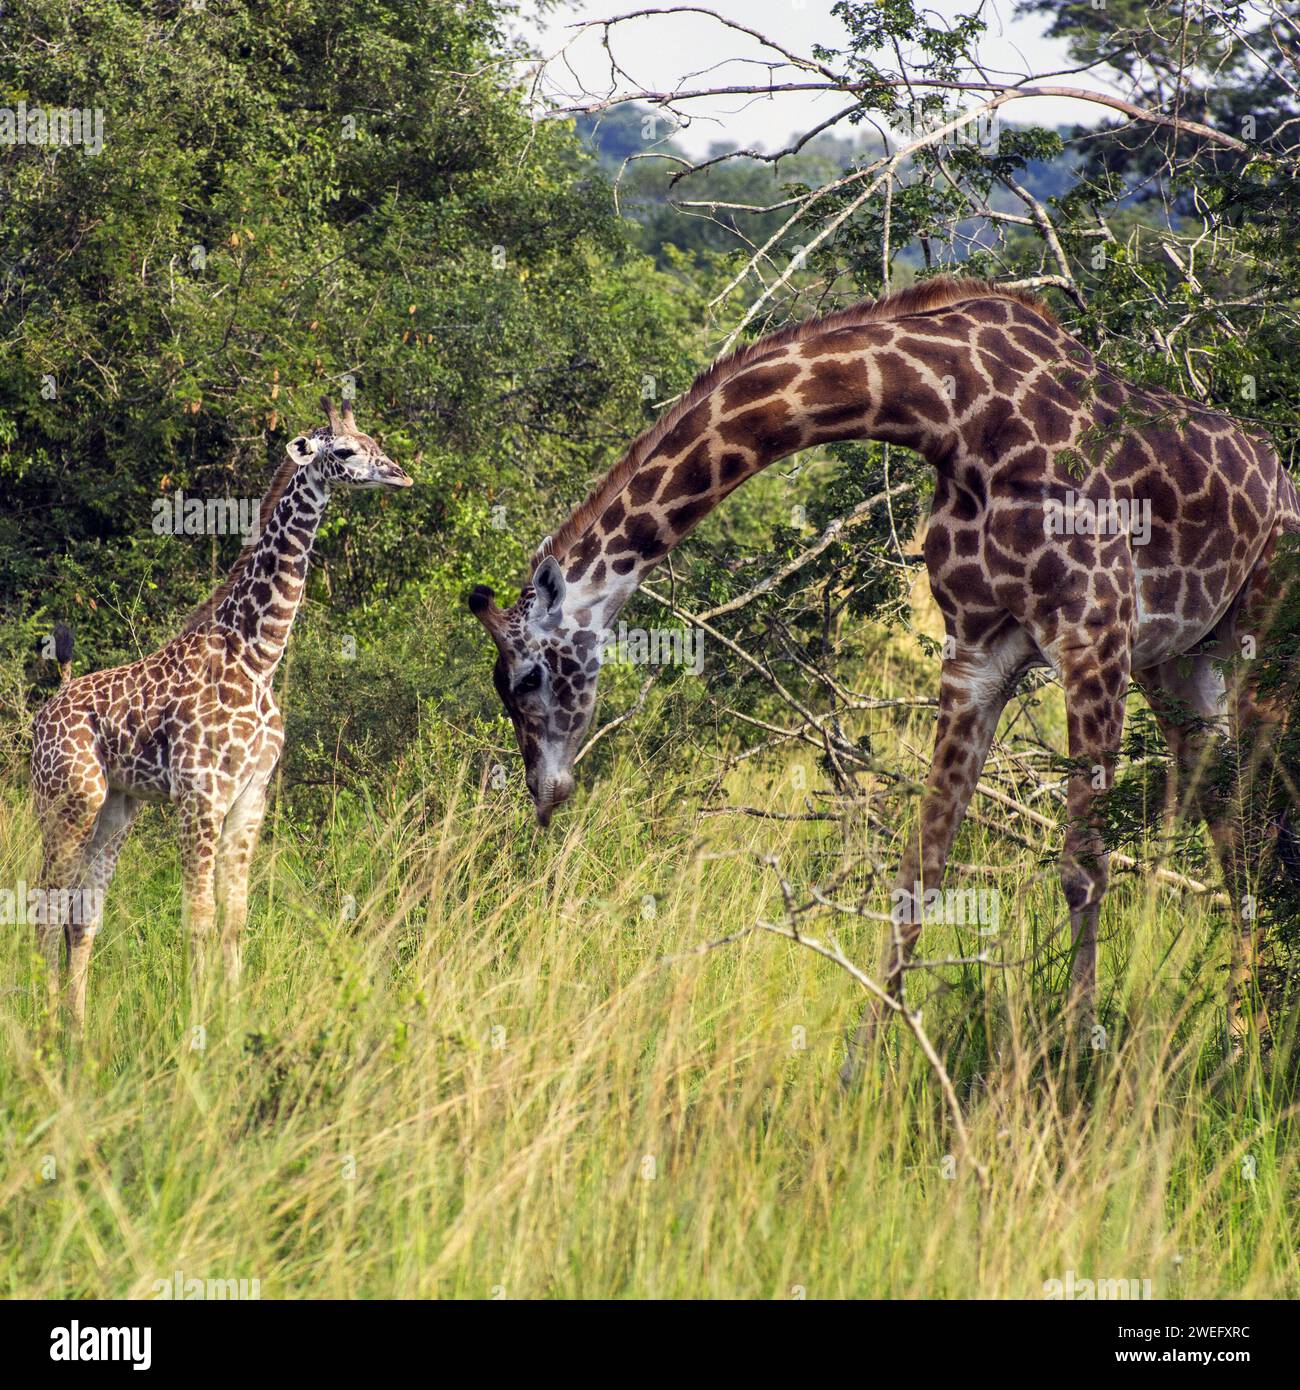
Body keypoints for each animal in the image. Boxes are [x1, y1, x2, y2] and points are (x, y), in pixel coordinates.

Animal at [469, 276, 1300, 1056]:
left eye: (527, 679)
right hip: (1182, 663)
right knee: (1236, 832)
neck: (949, 411)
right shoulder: (977, 652)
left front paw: (1077, 1059)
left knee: (1262, 824)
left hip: (1259, 633)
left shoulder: (1092, 630)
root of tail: (1278, 471)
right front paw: (862, 1060)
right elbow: (919, 869)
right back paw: (1239, 1034)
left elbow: (1081, 869)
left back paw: (1248, 1038)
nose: (545, 793)